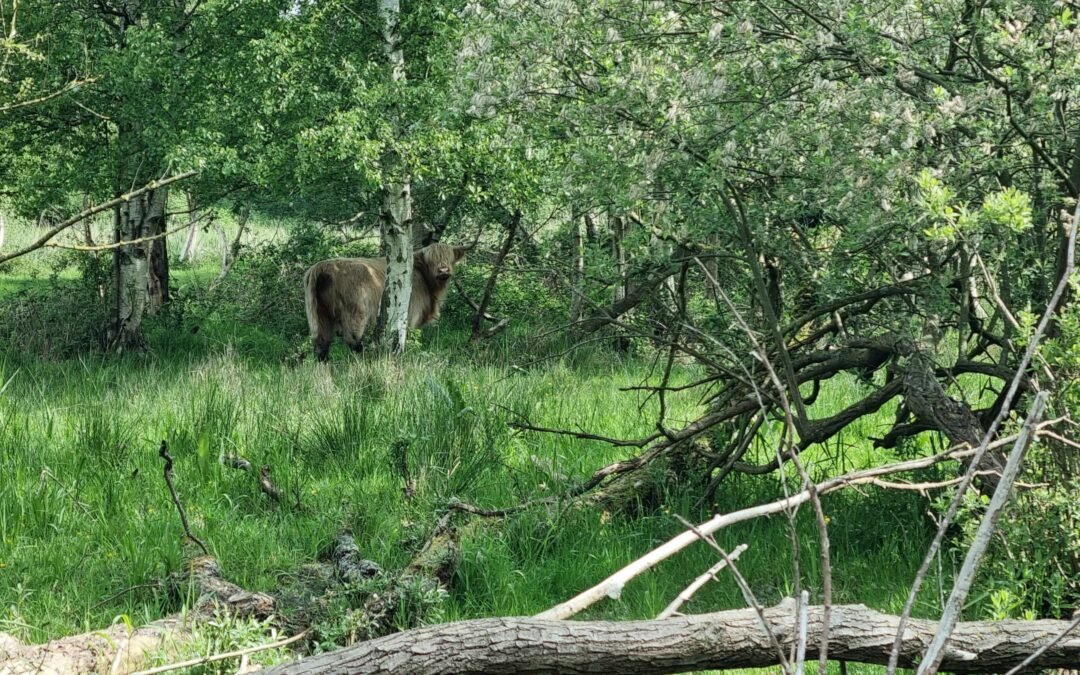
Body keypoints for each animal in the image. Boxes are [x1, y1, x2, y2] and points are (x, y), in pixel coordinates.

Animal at [308, 240, 468, 358]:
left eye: (449, 257)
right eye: (431, 260)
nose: (443, 270)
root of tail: (323, 268)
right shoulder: (410, 317)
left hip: (318, 316)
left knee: (321, 345)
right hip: (355, 314)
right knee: (353, 341)